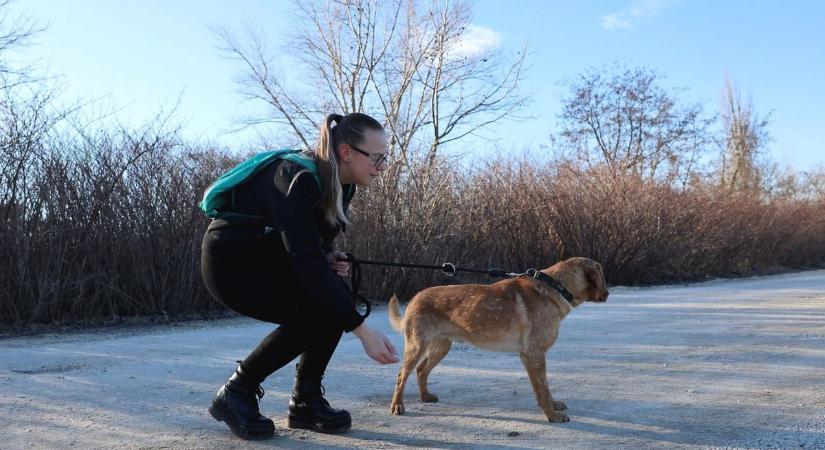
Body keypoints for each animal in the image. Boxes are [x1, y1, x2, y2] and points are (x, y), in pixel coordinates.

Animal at [384, 256, 604, 422]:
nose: (607, 294)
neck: (557, 287)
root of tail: (414, 298)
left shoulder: (530, 357)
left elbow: (541, 390)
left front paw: (552, 405)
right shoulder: (536, 354)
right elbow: (543, 388)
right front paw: (552, 415)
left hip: (441, 347)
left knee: (422, 370)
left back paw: (425, 397)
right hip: (416, 348)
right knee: (401, 376)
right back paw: (398, 405)